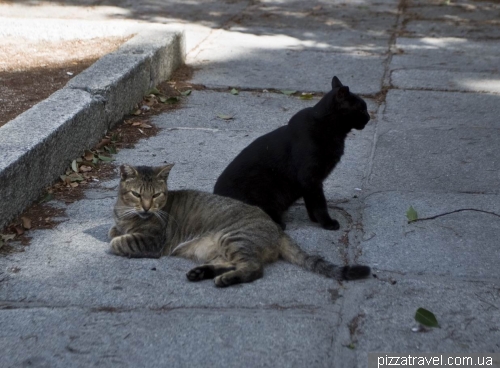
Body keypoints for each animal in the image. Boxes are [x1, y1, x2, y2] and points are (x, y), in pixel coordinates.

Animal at [110, 165, 372, 288]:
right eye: (137, 194)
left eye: (155, 195)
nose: (146, 207)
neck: (125, 214)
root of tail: (276, 227)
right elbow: (114, 231)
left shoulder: (152, 241)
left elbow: (119, 241)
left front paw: (117, 240)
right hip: (220, 248)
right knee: (235, 264)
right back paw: (202, 272)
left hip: (232, 237)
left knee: (254, 268)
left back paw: (224, 279)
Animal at [213, 75, 370, 230]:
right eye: (362, 110)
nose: (369, 118)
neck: (328, 128)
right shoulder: (310, 177)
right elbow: (319, 203)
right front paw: (327, 223)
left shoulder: (309, 183)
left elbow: (311, 203)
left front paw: (315, 220)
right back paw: (278, 224)